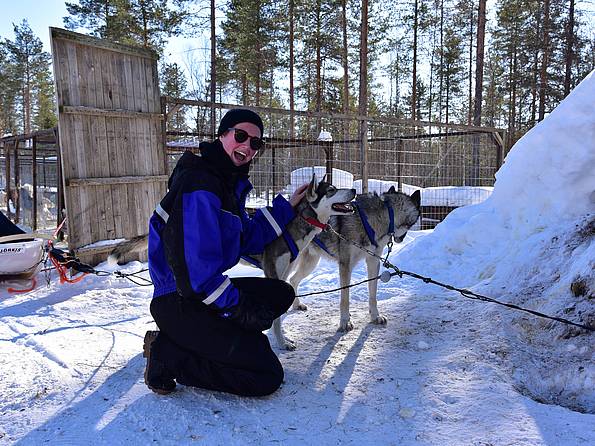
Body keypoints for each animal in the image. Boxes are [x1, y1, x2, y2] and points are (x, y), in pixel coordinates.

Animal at [290, 186, 424, 332]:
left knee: (293, 280)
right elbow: (345, 299)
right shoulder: (345, 265)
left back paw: (296, 305)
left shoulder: (373, 262)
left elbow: (373, 294)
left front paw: (375, 316)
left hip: (310, 264)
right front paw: (345, 322)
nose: (401, 239)